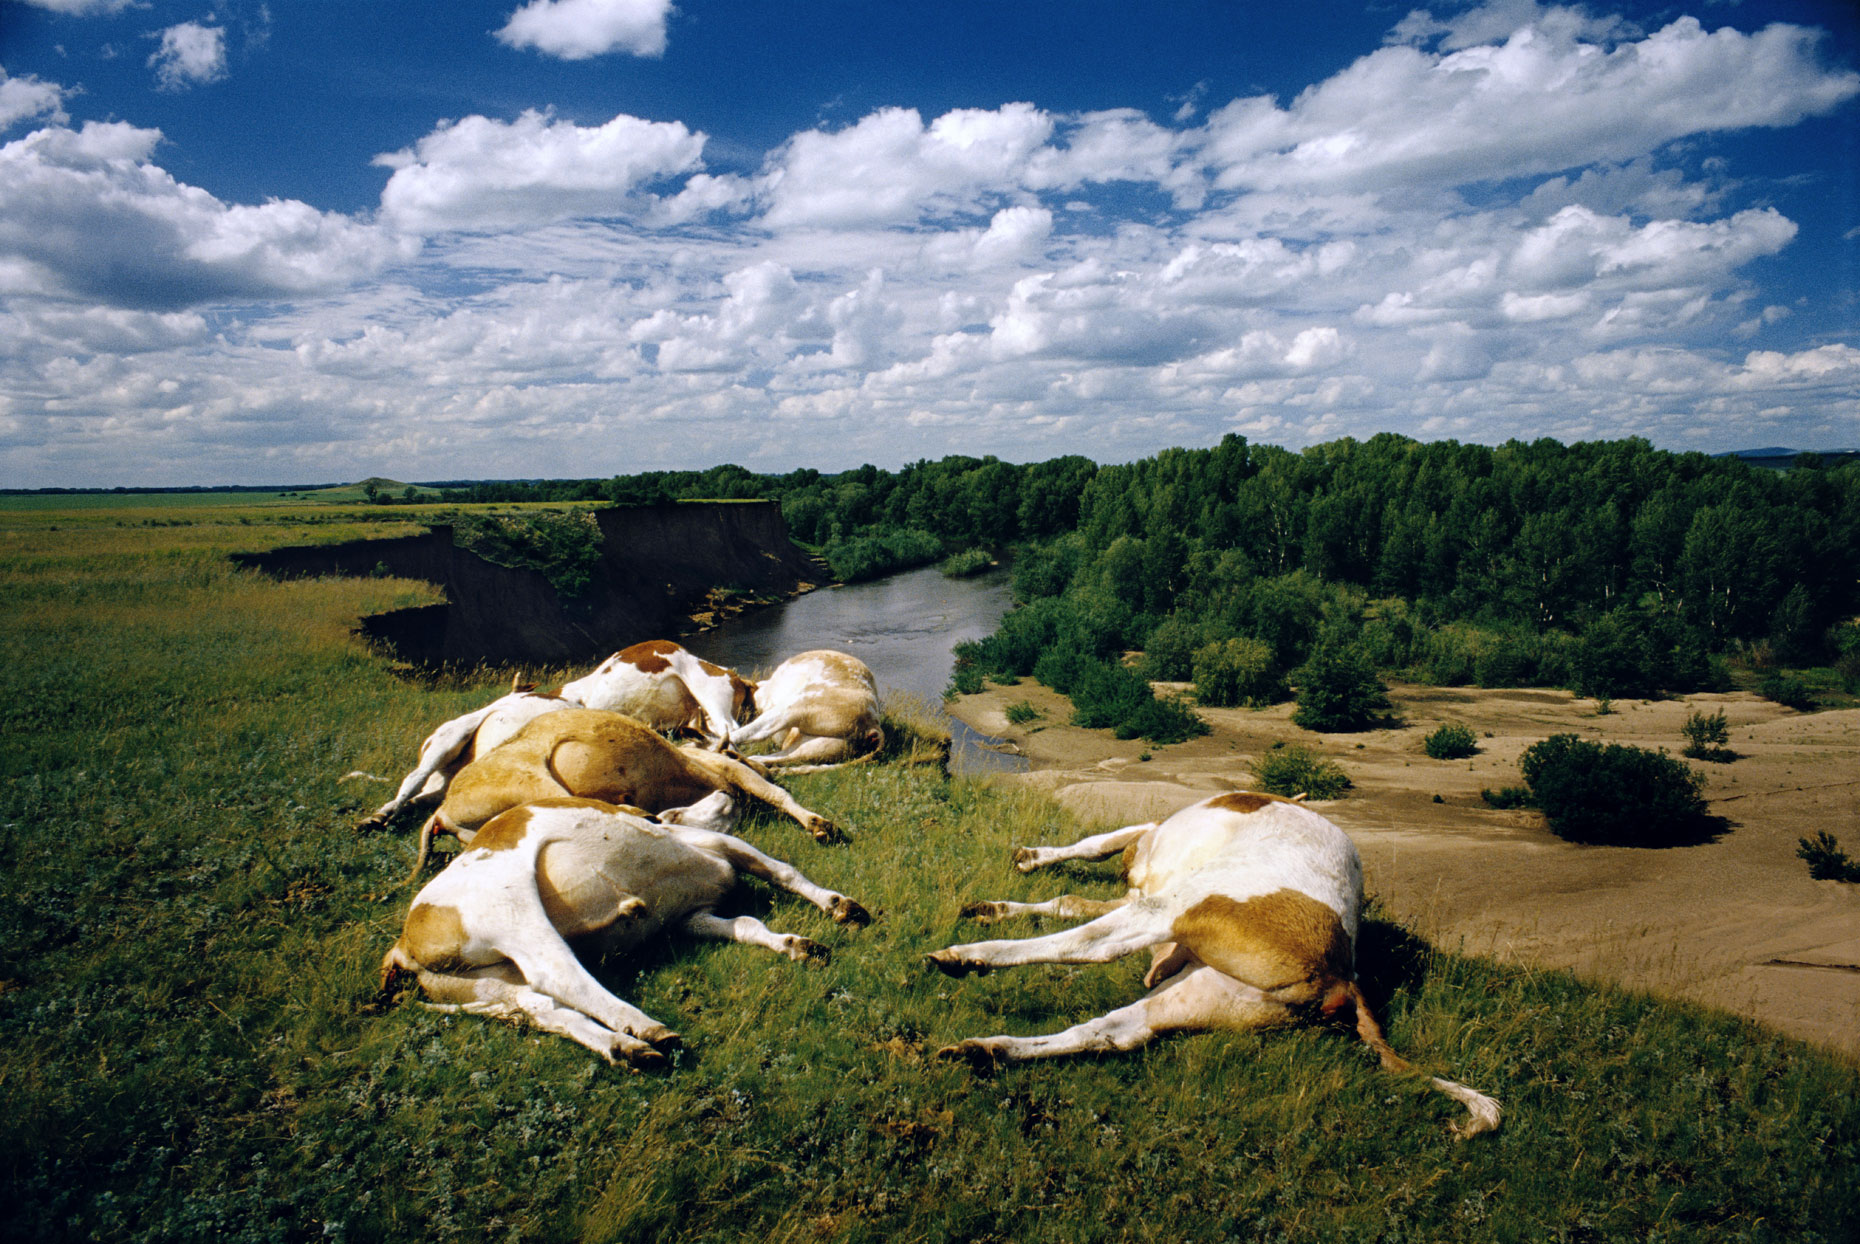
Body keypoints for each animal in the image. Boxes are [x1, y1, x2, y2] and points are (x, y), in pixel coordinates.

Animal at [383, 792, 870, 1063]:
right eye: (673, 811)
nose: (724, 794)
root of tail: (403, 943)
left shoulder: (690, 916)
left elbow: (747, 924)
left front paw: (796, 944)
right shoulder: (718, 842)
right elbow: (782, 870)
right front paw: (839, 905)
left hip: (489, 983)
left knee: (542, 1007)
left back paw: (625, 1049)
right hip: (513, 910)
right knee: (562, 976)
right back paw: (647, 1028)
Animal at [416, 706, 844, 873]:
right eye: (737, 754)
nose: (765, 768)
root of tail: (442, 811)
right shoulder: (730, 772)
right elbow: (775, 795)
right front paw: (821, 825)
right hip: (533, 778)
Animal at [922, 792, 1502, 1138]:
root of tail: (1343, 978)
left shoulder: (1145, 855)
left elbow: (1091, 851)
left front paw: (1026, 867)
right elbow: (1070, 894)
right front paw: (1002, 898)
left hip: (1182, 907)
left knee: (1091, 945)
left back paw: (967, 957)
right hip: (1204, 990)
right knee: (1110, 1031)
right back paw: (984, 1050)